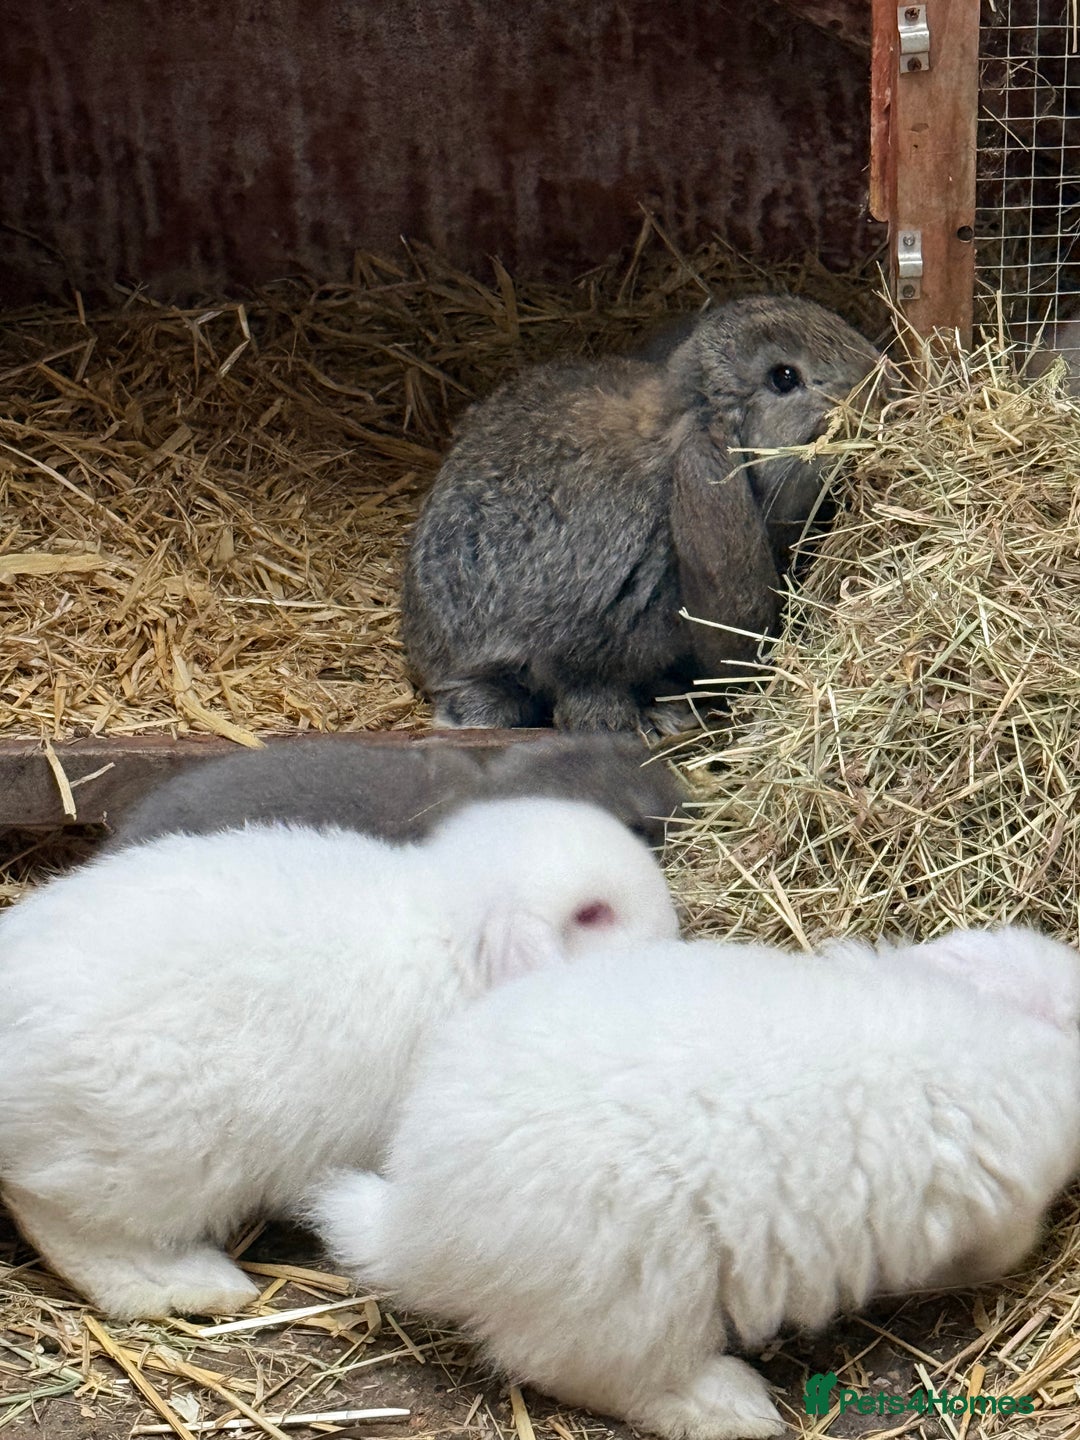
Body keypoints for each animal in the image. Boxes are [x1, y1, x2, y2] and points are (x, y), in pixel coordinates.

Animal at [0, 796, 679, 1321]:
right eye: (592, 914)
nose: (672, 930)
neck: (453, 942)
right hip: (150, 1157)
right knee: (63, 1223)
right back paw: (192, 1286)